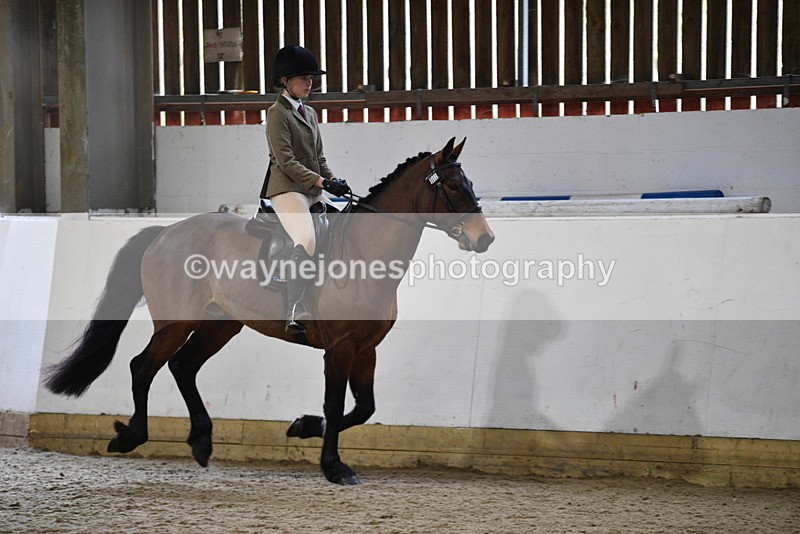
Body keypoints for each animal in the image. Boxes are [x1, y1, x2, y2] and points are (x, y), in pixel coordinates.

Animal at [45, 137, 495, 485]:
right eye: (453, 185)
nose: (485, 239)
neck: (364, 255)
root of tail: (166, 232)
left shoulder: (366, 348)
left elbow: (363, 408)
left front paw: (303, 426)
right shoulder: (340, 348)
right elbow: (336, 404)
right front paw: (334, 467)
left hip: (220, 325)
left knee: (183, 366)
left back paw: (201, 441)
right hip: (176, 323)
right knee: (143, 367)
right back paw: (130, 437)